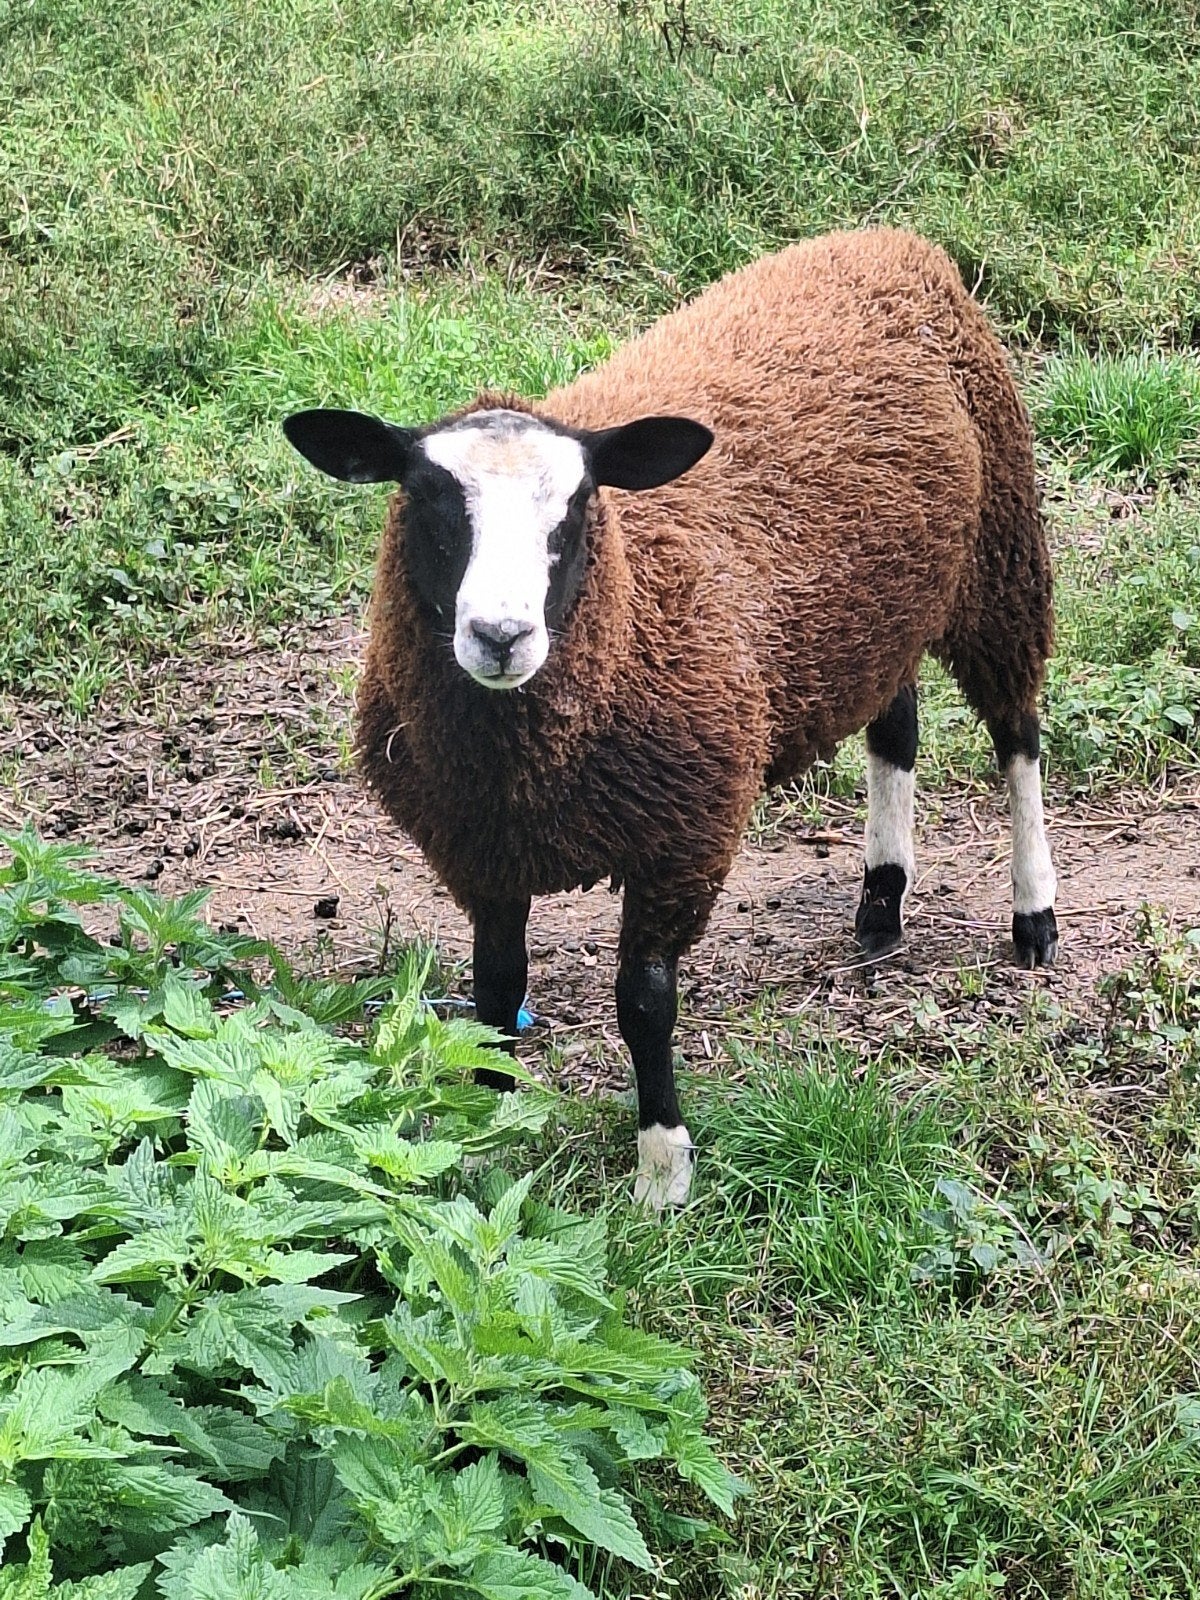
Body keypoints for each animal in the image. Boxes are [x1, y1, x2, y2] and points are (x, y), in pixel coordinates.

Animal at [283, 227, 1058, 1210]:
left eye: (576, 511)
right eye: (426, 501)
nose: (500, 636)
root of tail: (889, 241)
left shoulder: (679, 835)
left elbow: (644, 1000)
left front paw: (663, 1167)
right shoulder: (481, 851)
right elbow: (496, 993)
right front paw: (490, 1128)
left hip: (1001, 547)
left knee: (1017, 735)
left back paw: (1034, 915)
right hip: (881, 607)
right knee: (898, 725)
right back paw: (881, 901)